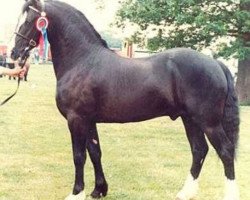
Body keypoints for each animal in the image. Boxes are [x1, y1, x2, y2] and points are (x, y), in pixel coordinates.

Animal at [11, 0, 240, 199]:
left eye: (30, 20)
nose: (14, 53)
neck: (82, 60)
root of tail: (216, 63)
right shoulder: (89, 120)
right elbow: (95, 152)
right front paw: (99, 190)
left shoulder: (76, 119)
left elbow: (79, 156)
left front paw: (77, 193)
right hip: (190, 119)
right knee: (199, 150)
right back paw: (185, 193)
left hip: (208, 122)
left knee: (226, 152)